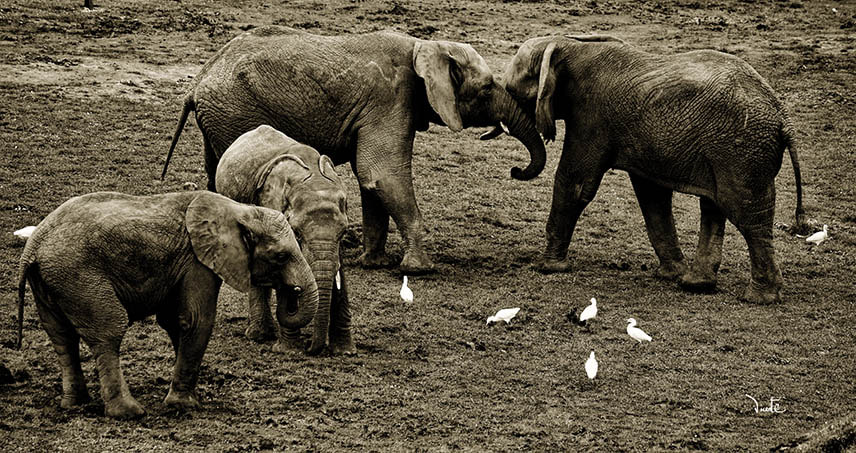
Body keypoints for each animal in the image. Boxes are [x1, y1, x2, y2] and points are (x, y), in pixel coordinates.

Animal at [16, 191, 318, 418]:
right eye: (281, 256)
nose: (292, 290)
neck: (238, 210)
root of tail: (34, 245)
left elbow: (175, 322)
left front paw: (189, 397)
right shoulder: (198, 262)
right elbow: (195, 319)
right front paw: (184, 406)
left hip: (52, 281)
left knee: (60, 335)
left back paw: (74, 404)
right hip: (79, 276)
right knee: (108, 331)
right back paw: (128, 412)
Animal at [160, 25, 547, 275]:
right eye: (486, 89)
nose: (516, 170)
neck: (424, 46)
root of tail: (196, 83)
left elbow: (372, 181)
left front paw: (374, 263)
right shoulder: (391, 99)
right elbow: (383, 175)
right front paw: (420, 270)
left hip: (220, 119)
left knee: (215, 172)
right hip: (235, 113)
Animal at [215, 125, 354, 356]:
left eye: (343, 233)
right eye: (296, 233)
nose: (312, 349)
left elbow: (339, 273)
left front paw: (345, 351)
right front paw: (288, 350)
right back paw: (259, 336)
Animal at [496, 35, 805, 304]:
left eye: (512, 91)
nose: (514, 170)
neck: (568, 44)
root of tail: (782, 116)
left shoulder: (591, 115)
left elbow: (575, 183)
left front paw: (547, 267)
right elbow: (651, 195)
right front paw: (671, 274)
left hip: (741, 149)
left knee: (745, 212)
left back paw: (759, 298)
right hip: (729, 150)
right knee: (715, 206)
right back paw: (695, 284)